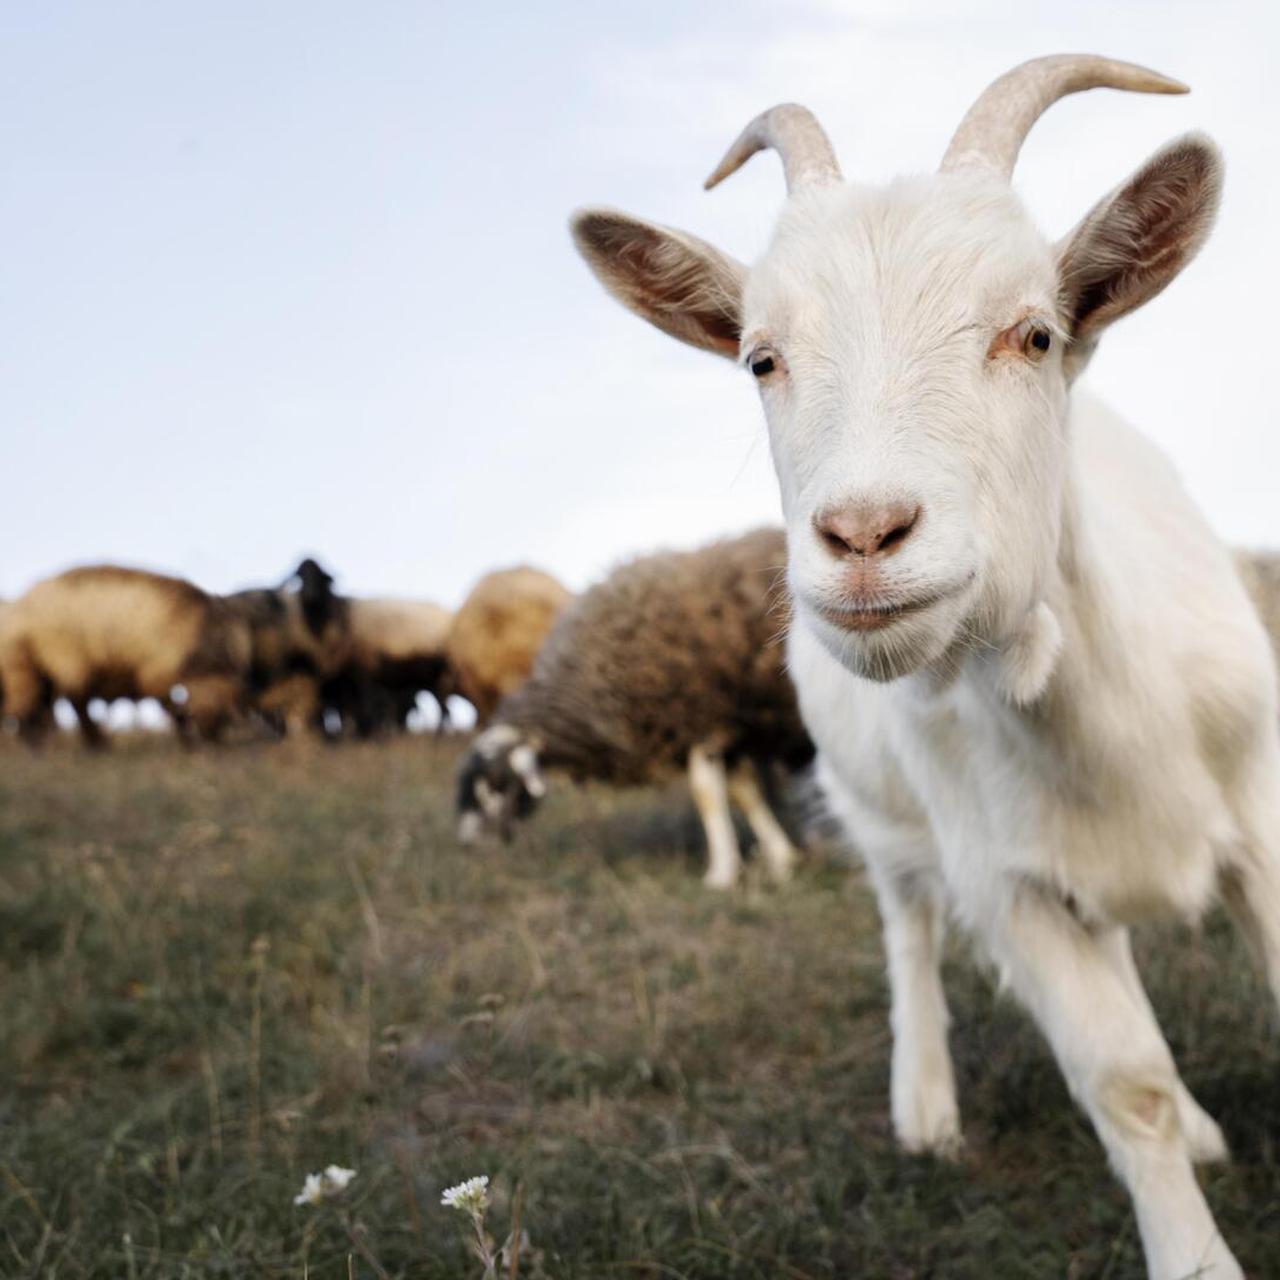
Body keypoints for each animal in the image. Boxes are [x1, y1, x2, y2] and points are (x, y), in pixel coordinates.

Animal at [0, 565, 252, 747]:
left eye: (226, 718)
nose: (212, 742)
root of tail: (23, 606)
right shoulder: (156, 673)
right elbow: (172, 707)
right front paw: (187, 740)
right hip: (64, 660)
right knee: (71, 701)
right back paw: (93, 744)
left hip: (37, 669)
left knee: (40, 707)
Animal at [573, 52, 1280, 1280]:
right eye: (761, 358)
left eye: (1034, 334)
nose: (862, 533)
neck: (1104, 709)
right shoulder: (1001, 882)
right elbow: (1122, 1082)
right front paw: (1193, 1250)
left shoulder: (1261, 809)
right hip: (883, 814)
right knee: (905, 926)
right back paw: (927, 1106)